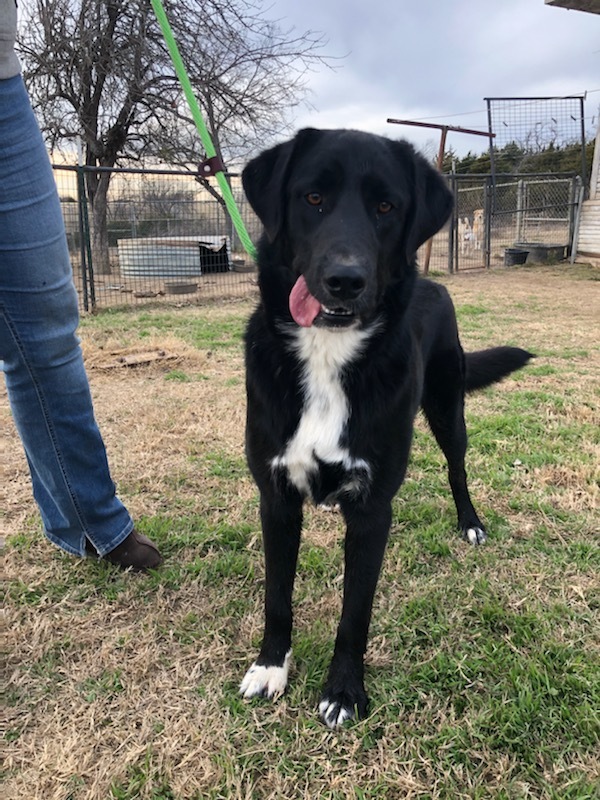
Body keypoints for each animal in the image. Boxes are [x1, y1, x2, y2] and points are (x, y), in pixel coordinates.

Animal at [238, 128, 528, 728]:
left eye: (386, 207)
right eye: (313, 197)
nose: (345, 281)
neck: (327, 354)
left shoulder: (372, 513)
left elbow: (355, 612)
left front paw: (344, 692)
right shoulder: (275, 498)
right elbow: (277, 596)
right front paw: (271, 666)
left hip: (448, 410)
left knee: (457, 470)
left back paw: (470, 524)